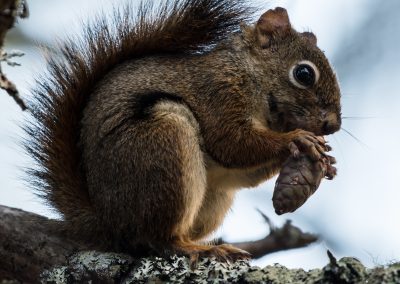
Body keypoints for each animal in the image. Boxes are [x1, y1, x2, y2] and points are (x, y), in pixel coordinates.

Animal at [27, 0, 340, 262]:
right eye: (303, 74)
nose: (333, 126)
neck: (249, 74)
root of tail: (108, 222)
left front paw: (324, 158)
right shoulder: (217, 93)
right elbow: (232, 143)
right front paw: (297, 139)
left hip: (214, 196)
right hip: (163, 147)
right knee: (156, 239)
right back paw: (199, 250)